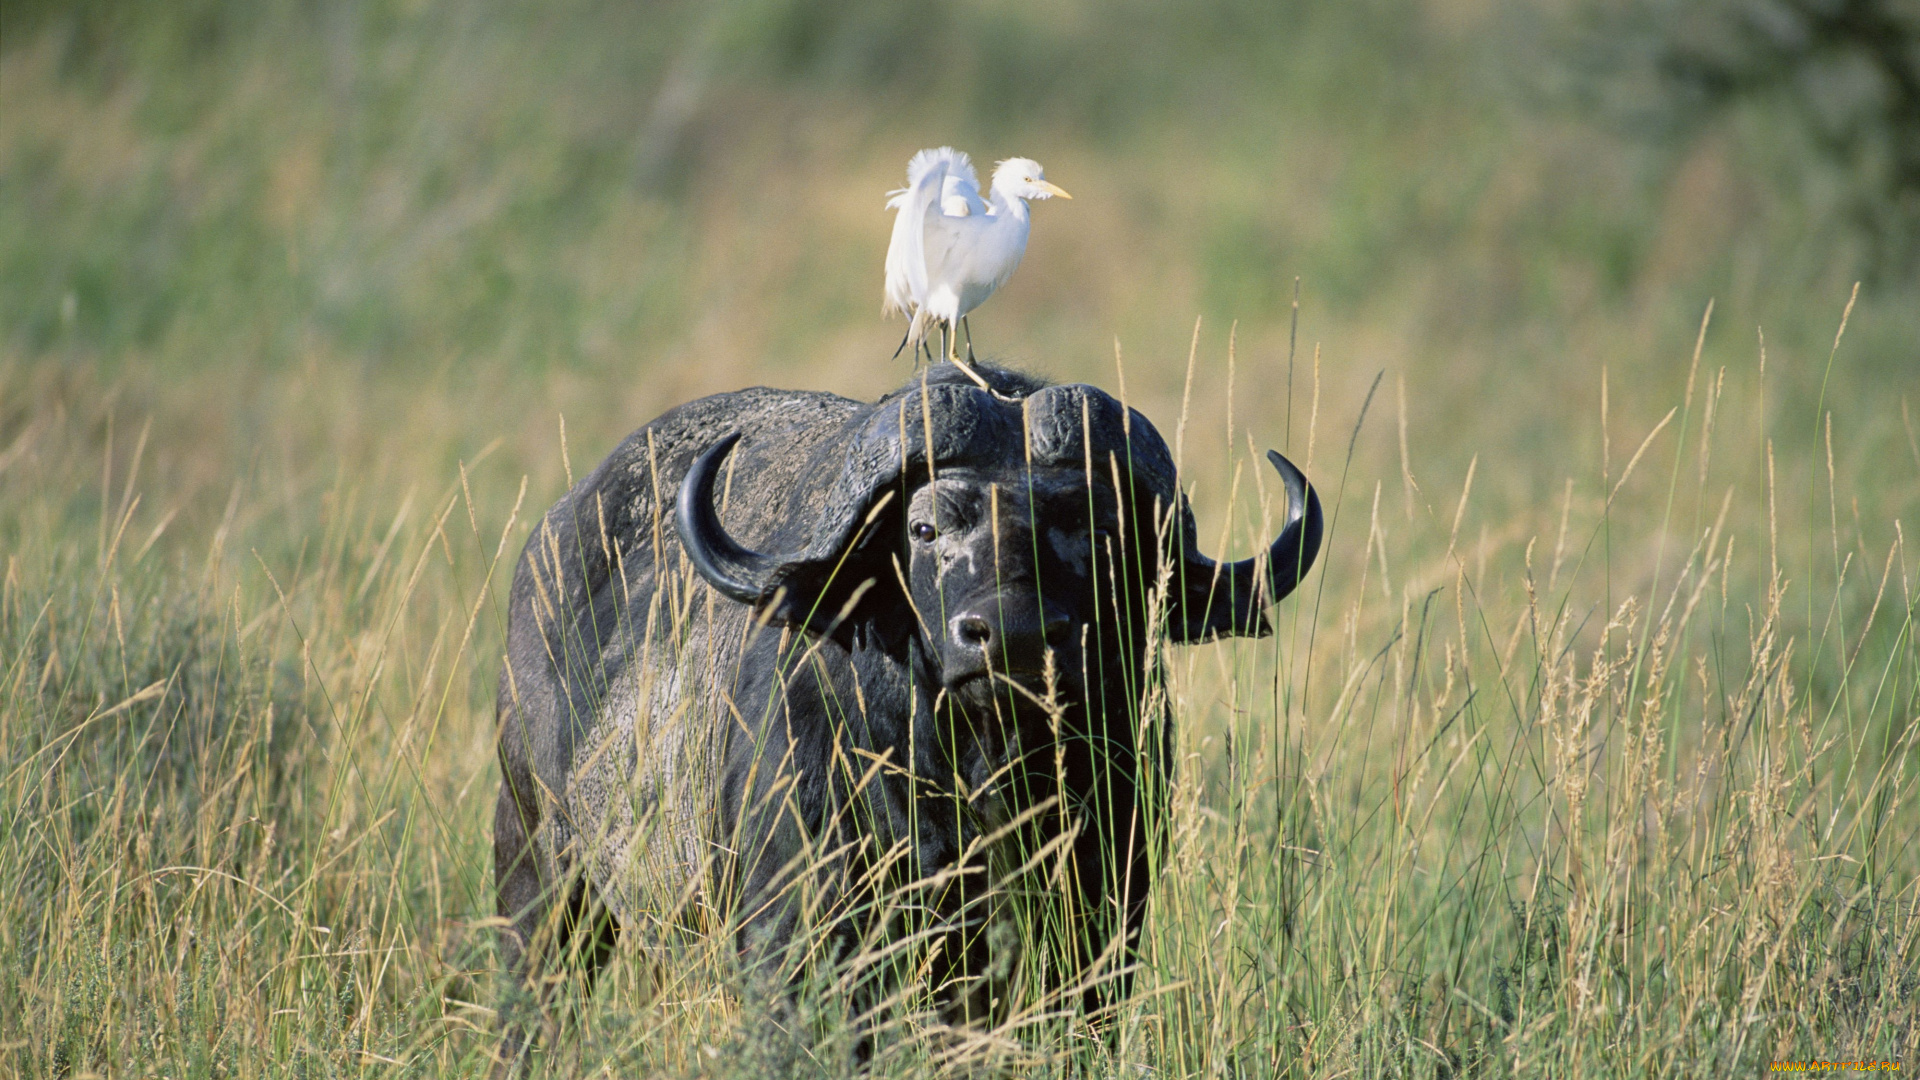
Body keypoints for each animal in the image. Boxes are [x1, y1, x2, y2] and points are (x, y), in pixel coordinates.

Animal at [491, 361, 1320, 1060]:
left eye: (1093, 527)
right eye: (925, 528)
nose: (1011, 635)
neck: (972, 783)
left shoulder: (1100, 920)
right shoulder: (797, 937)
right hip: (539, 873)